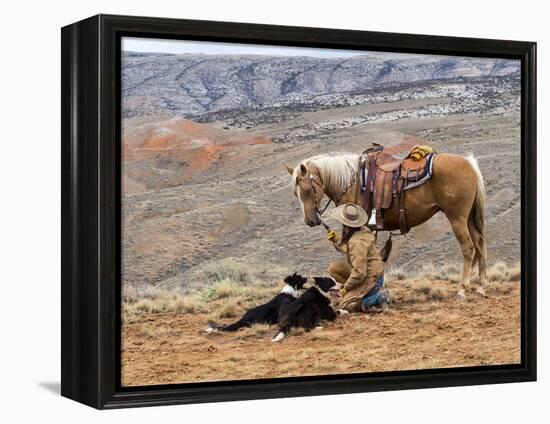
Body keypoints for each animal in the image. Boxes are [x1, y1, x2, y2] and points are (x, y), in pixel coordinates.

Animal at [286, 151, 490, 300]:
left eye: (306, 189)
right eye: (295, 193)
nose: (310, 221)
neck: (351, 182)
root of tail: (469, 164)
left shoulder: (354, 227)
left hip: (457, 218)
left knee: (468, 247)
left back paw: (462, 289)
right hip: (470, 218)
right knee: (480, 245)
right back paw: (480, 286)